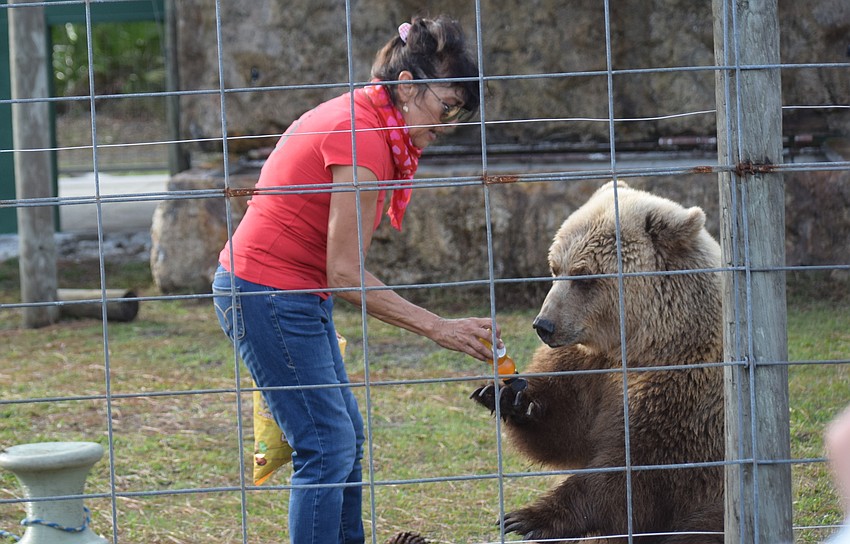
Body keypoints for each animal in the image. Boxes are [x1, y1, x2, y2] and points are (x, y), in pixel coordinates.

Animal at [472, 181, 724, 543]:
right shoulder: (587, 366)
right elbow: (566, 429)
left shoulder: (683, 390)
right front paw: (507, 397)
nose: (544, 325)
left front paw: (527, 517)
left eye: (584, 275)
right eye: (555, 267)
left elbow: (633, 472)